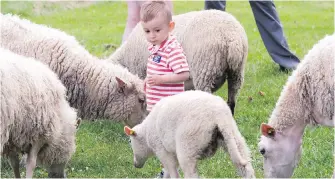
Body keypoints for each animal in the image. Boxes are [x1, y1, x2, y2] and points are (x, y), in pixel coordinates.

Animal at [0, 47, 77, 178]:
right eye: (68, 154)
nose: (62, 176)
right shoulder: (40, 133)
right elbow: (31, 163)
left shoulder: (12, 135)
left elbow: (14, 163)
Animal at [123, 90, 255, 178]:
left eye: (130, 142)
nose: (135, 164)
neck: (146, 133)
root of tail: (218, 115)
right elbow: (167, 171)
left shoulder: (161, 149)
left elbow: (172, 172)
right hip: (234, 136)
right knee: (246, 167)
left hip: (188, 144)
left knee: (191, 174)